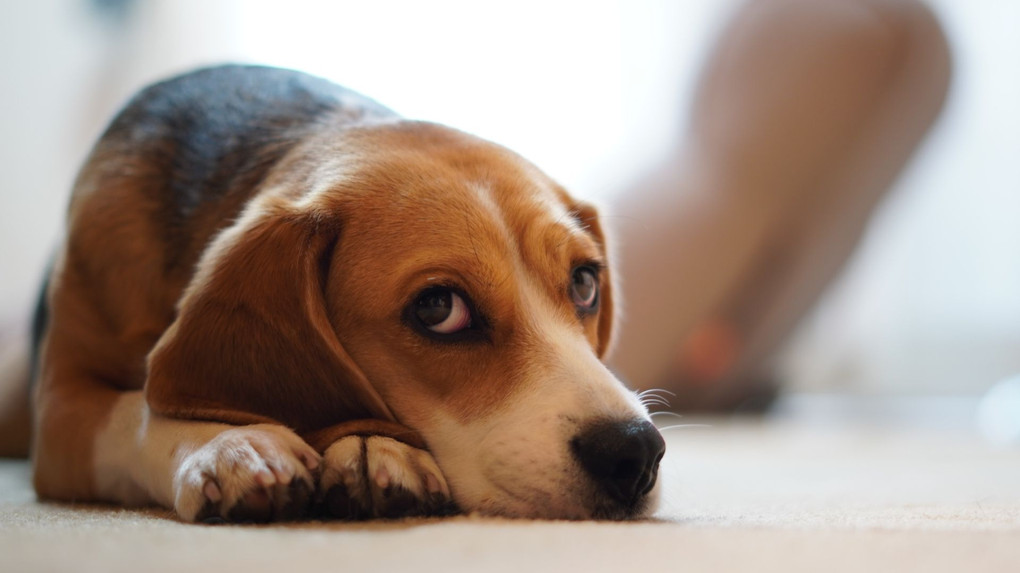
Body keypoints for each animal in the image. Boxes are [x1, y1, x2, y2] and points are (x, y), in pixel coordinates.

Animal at [29, 64, 660, 519]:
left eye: (585, 282)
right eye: (439, 308)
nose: (636, 452)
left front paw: (370, 444)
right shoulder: (61, 409)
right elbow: (132, 412)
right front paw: (228, 446)